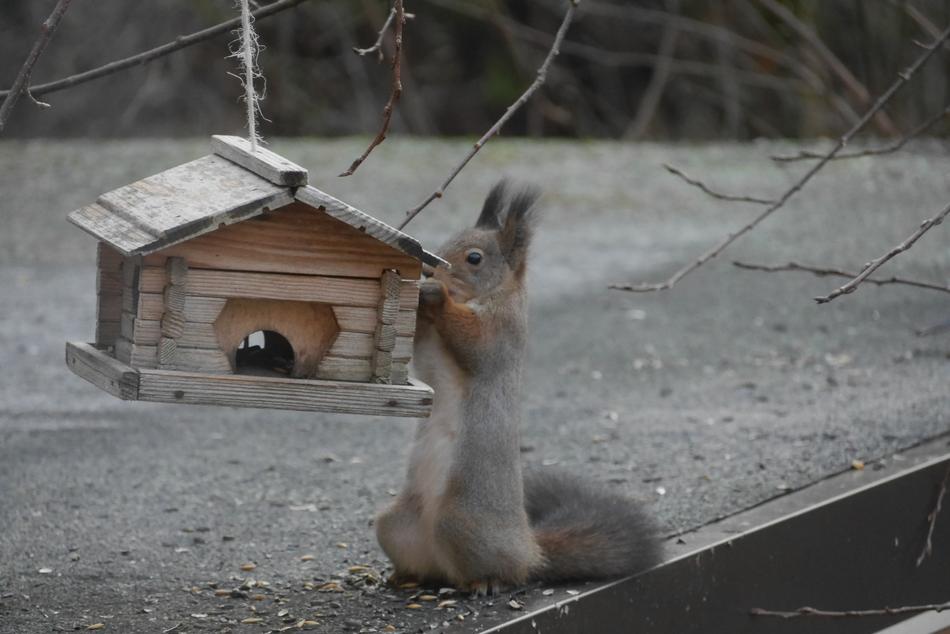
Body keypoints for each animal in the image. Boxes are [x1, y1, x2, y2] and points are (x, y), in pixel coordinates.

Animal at [375, 181, 662, 594]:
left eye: (474, 258)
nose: (429, 268)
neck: (484, 295)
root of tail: (530, 550)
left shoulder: (503, 330)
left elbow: (476, 343)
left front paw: (435, 295)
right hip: (394, 524)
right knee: (425, 564)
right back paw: (406, 575)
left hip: (462, 522)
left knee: (503, 570)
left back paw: (486, 581)